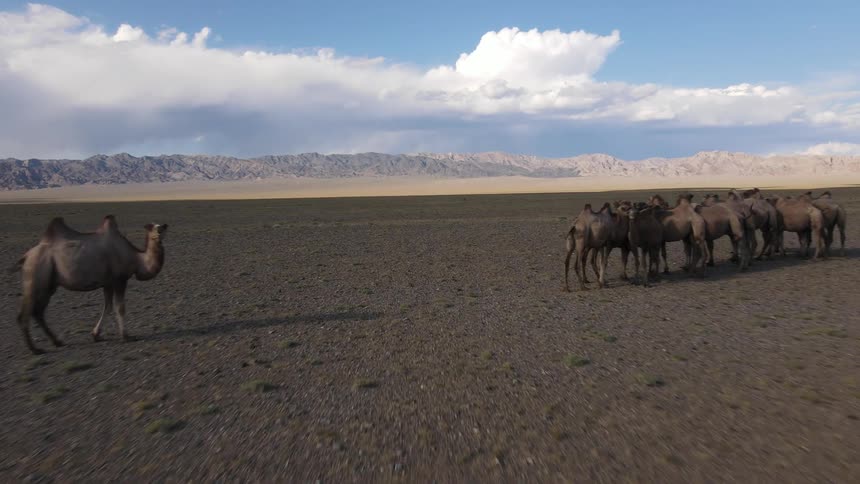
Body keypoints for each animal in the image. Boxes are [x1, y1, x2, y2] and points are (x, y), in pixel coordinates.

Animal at [14, 215, 168, 354]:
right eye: (153, 228)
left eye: (162, 227)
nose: (161, 231)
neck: (136, 258)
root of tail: (26, 256)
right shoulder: (120, 280)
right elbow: (120, 308)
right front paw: (126, 336)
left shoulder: (108, 283)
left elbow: (108, 307)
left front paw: (96, 335)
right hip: (35, 277)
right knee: (25, 313)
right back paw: (35, 349)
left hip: (49, 285)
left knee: (38, 312)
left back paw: (57, 342)